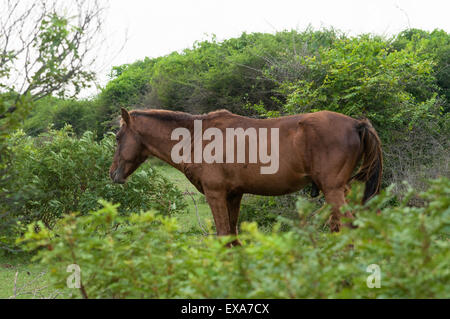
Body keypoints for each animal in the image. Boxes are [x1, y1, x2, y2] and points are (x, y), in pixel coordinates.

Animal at [110, 109, 384, 244]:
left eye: (118, 137)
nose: (113, 174)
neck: (197, 138)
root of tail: (356, 124)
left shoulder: (216, 194)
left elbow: (223, 236)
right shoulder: (234, 196)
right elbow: (232, 236)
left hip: (334, 190)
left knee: (348, 225)